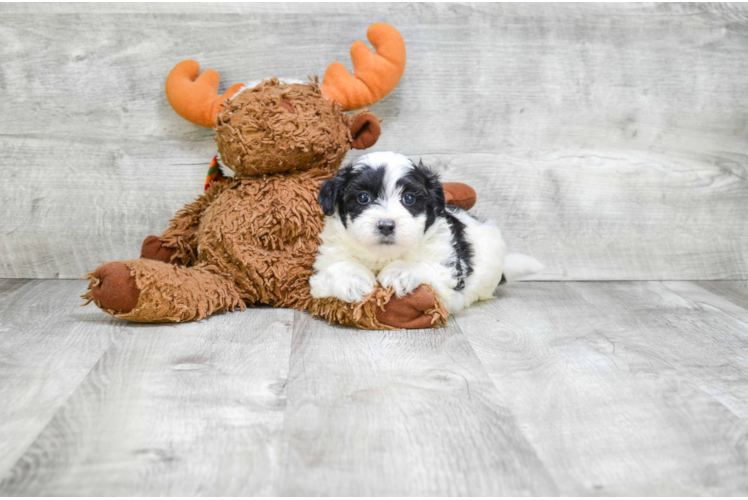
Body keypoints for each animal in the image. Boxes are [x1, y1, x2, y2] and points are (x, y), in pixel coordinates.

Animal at [306, 152, 540, 310]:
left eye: (409, 198)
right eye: (363, 197)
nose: (386, 225)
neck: (383, 255)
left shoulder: (447, 269)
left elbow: (428, 266)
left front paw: (402, 271)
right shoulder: (328, 258)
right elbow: (336, 267)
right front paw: (353, 279)